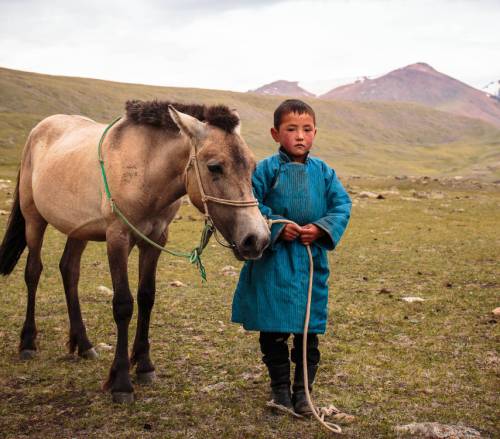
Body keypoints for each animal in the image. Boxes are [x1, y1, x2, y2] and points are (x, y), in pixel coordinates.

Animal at [0, 101, 270, 404]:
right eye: (215, 166)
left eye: (252, 166)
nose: (256, 239)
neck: (146, 169)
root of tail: (39, 129)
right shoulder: (118, 238)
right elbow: (123, 304)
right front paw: (121, 381)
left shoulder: (155, 240)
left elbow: (146, 297)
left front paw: (143, 364)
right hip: (34, 219)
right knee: (33, 272)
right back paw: (28, 342)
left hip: (78, 229)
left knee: (69, 271)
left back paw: (83, 344)